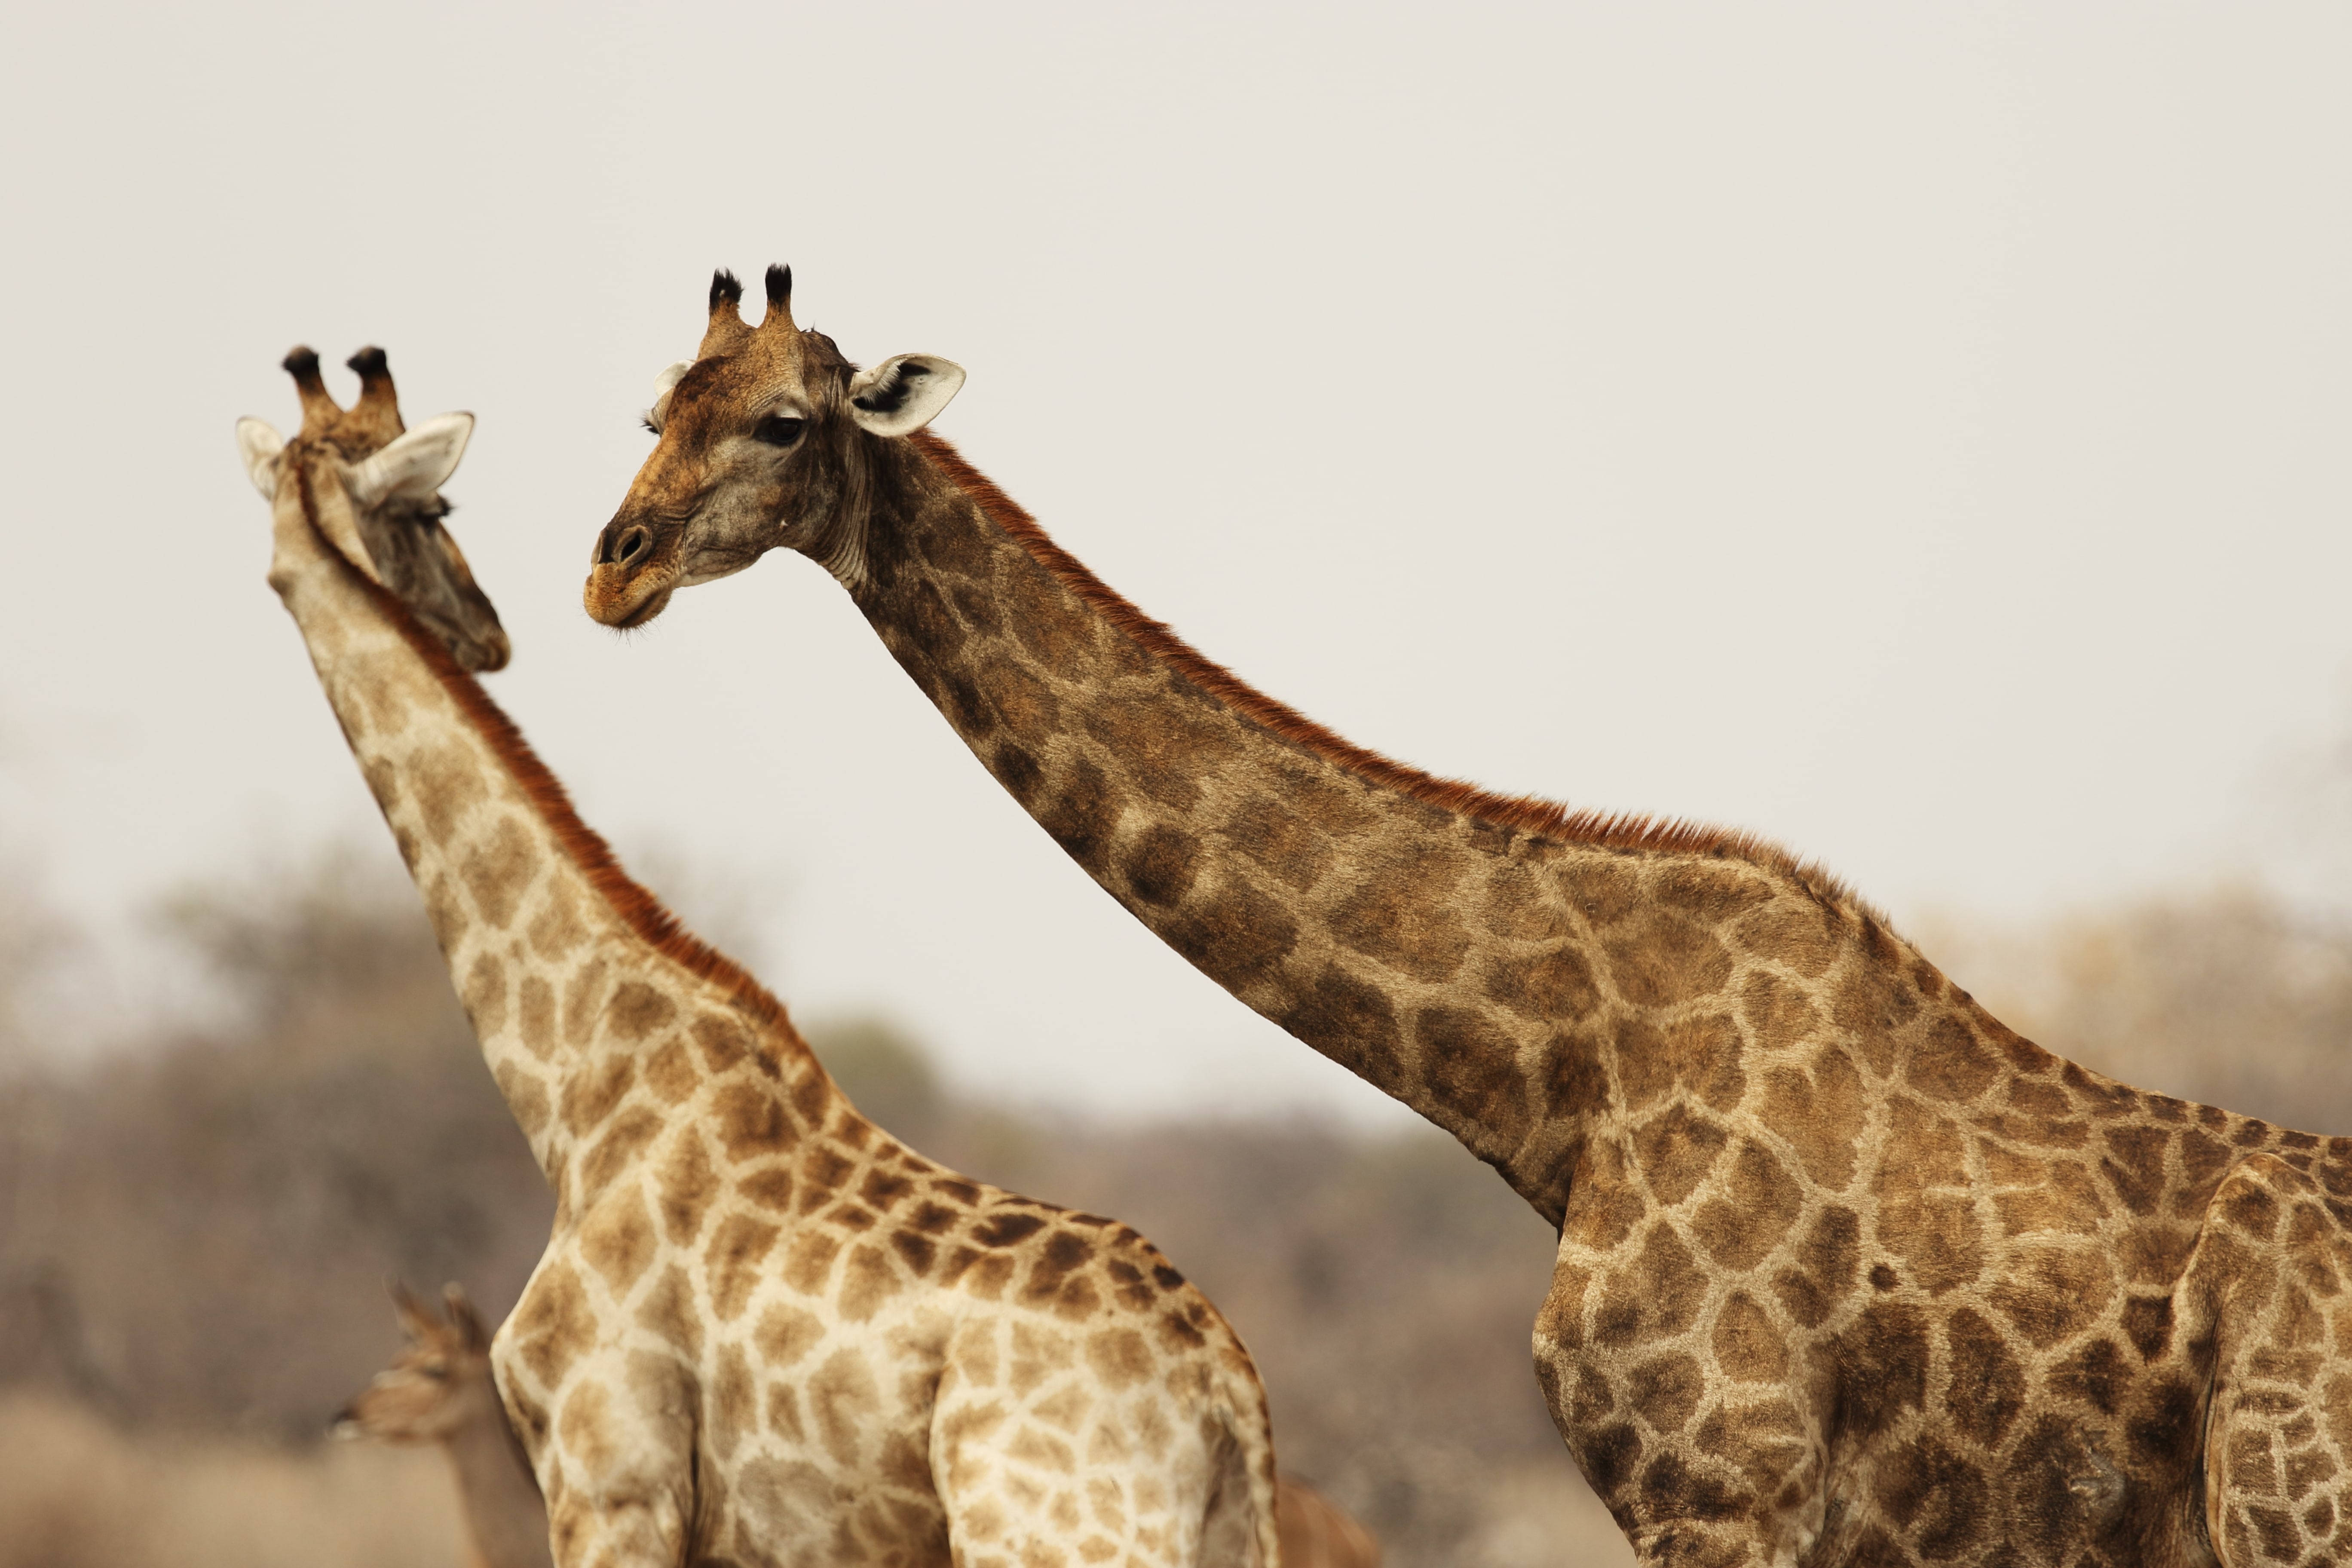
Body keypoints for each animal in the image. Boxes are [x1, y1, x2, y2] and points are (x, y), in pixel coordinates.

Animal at [578, 266, 2352, 1567]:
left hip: (2290, 1506)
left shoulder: (1726, 1482)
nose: (614, 566)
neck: (1564, 1074)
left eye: (787, 422)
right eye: (657, 408)